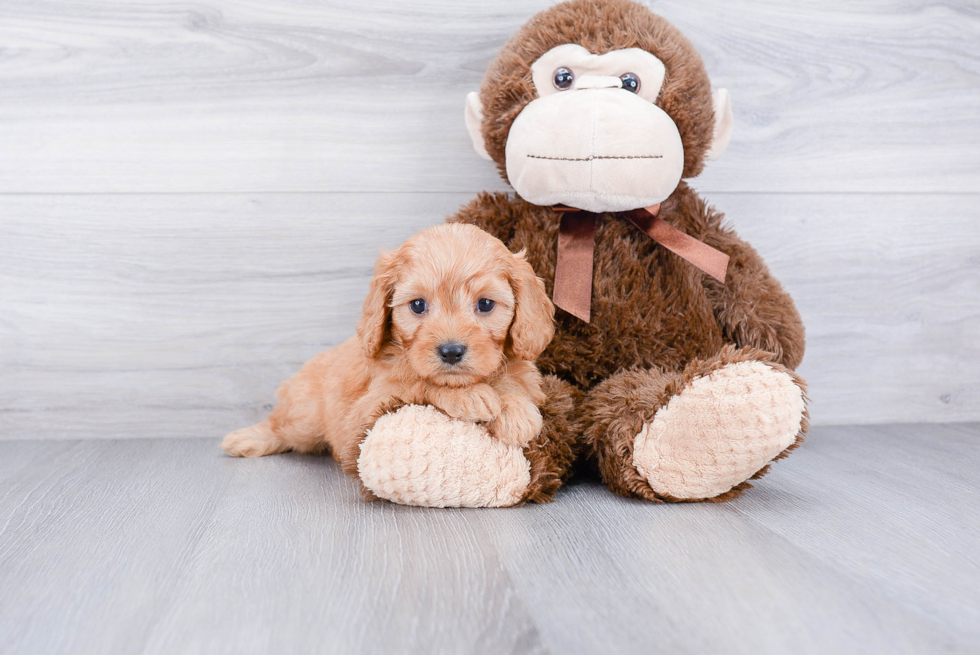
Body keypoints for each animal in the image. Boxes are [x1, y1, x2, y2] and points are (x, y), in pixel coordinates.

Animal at [224, 222, 560, 472]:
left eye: (486, 304)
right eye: (418, 305)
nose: (451, 352)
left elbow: (515, 383)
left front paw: (515, 409)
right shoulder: (364, 414)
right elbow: (416, 382)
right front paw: (469, 396)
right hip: (305, 416)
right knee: (281, 425)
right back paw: (246, 438)